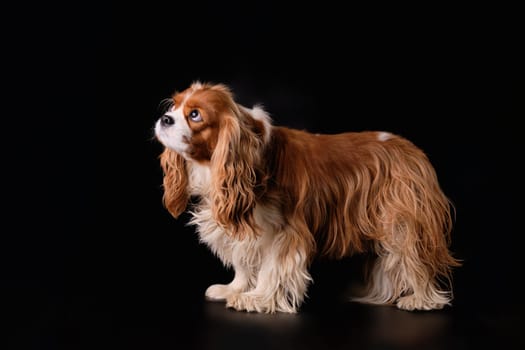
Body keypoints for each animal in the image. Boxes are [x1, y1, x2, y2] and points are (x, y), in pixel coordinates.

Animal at [152, 82, 458, 314]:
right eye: (174, 106)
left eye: (195, 115)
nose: (165, 118)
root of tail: (411, 150)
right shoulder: (246, 226)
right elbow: (244, 261)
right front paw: (234, 288)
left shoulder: (283, 231)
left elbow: (272, 267)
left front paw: (256, 298)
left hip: (401, 221)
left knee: (414, 259)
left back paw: (419, 299)